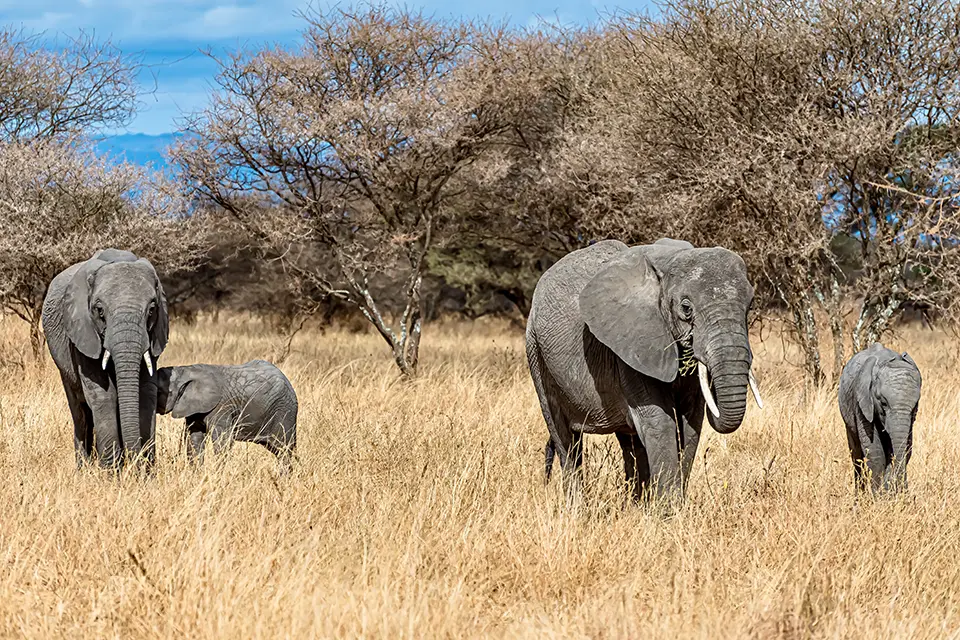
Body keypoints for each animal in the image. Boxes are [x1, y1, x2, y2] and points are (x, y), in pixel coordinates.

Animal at [42, 248, 169, 468]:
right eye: (99, 311)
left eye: (152, 310)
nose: (133, 463)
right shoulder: (83, 331)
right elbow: (103, 394)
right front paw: (111, 472)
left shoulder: (154, 336)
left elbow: (146, 392)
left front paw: (144, 471)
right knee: (80, 414)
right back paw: (84, 468)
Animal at [156, 360, 298, 470]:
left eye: (160, 391)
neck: (186, 370)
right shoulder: (193, 408)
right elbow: (194, 437)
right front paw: (197, 474)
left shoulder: (221, 407)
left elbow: (222, 440)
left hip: (284, 411)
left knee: (283, 449)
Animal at [524, 238, 764, 502]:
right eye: (686, 308)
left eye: (750, 305)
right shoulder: (630, 347)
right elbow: (660, 421)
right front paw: (669, 510)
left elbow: (691, 422)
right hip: (536, 351)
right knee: (564, 436)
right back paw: (577, 507)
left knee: (630, 441)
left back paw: (635, 503)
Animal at [840, 344, 924, 496]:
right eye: (883, 403)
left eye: (915, 405)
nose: (906, 493)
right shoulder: (862, 402)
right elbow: (875, 453)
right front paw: (878, 497)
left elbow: (905, 449)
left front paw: (887, 495)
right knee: (856, 456)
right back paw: (859, 497)